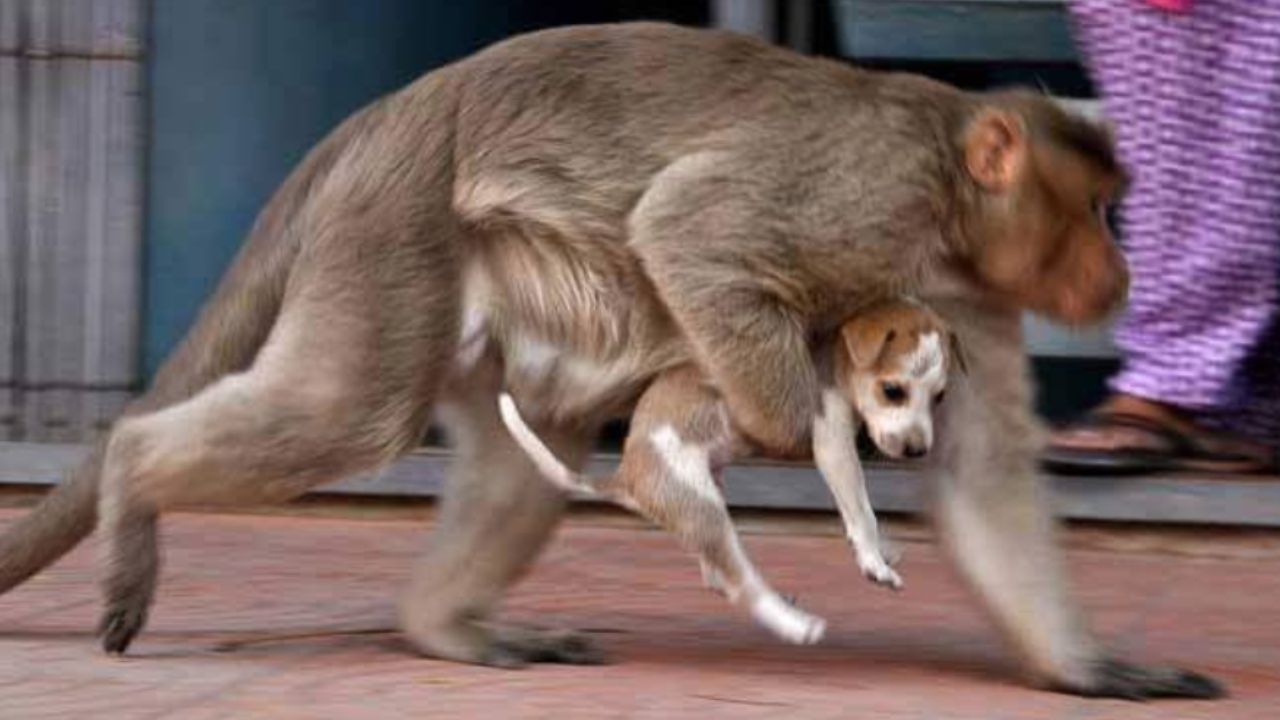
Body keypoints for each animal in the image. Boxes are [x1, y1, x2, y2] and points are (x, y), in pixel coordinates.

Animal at [499, 298, 962, 645]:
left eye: (939, 397)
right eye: (893, 391)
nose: (918, 451)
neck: (834, 356)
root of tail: (626, 474)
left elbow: (863, 514)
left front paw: (884, 548)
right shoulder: (832, 443)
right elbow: (862, 511)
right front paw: (874, 563)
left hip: (710, 495)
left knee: (717, 575)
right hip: (703, 509)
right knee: (741, 584)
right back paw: (796, 625)